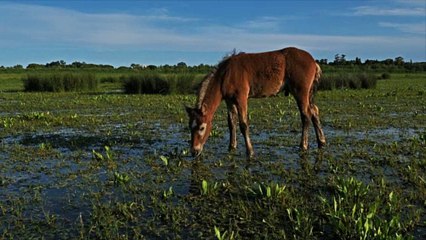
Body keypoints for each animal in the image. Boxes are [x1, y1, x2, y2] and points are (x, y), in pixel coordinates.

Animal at [186, 46, 326, 158]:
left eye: (202, 127)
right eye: (190, 127)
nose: (194, 151)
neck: (226, 74)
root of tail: (314, 62)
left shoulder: (241, 98)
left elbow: (243, 124)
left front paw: (250, 151)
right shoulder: (229, 101)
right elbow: (231, 123)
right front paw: (232, 147)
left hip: (300, 93)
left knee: (306, 116)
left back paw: (303, 146)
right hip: (308, 94)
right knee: (314, 111)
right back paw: (321, 141)